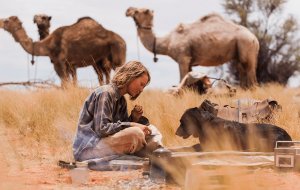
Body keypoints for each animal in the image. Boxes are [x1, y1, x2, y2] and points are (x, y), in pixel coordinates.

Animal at [125, 6, 258, 88]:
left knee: (251, 74)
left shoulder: (183, 58)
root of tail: (255, 38)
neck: (168, 42)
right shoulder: (189, 62)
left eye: (137, 11)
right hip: (240, 51)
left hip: (246, 44)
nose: (127, 10)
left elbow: (181, 79)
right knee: (242, 71)